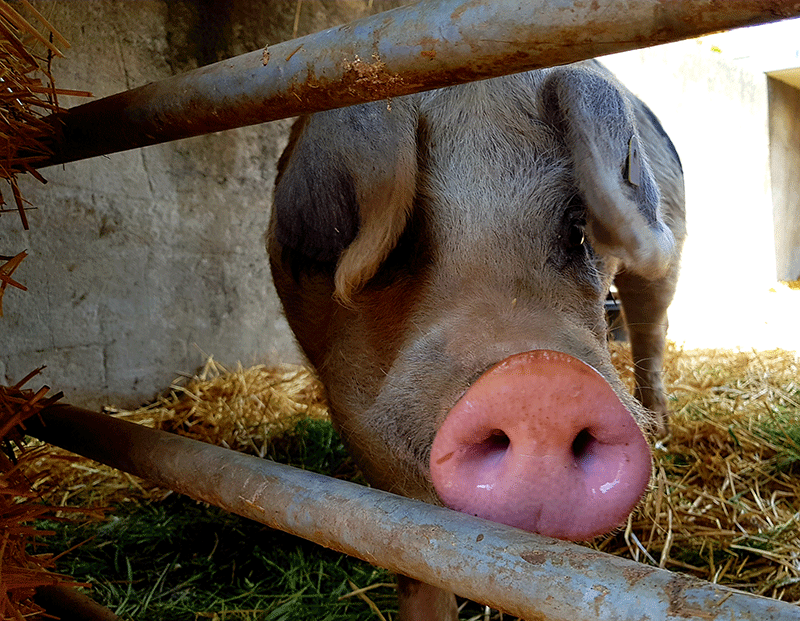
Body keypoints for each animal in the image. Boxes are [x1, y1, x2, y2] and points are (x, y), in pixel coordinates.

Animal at [266, 59, 684, 620]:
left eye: (577, 229)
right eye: (404, 243)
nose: (539, 378)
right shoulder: (348, 393)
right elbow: (408, 538)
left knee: (651, 327)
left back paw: (660, 429)